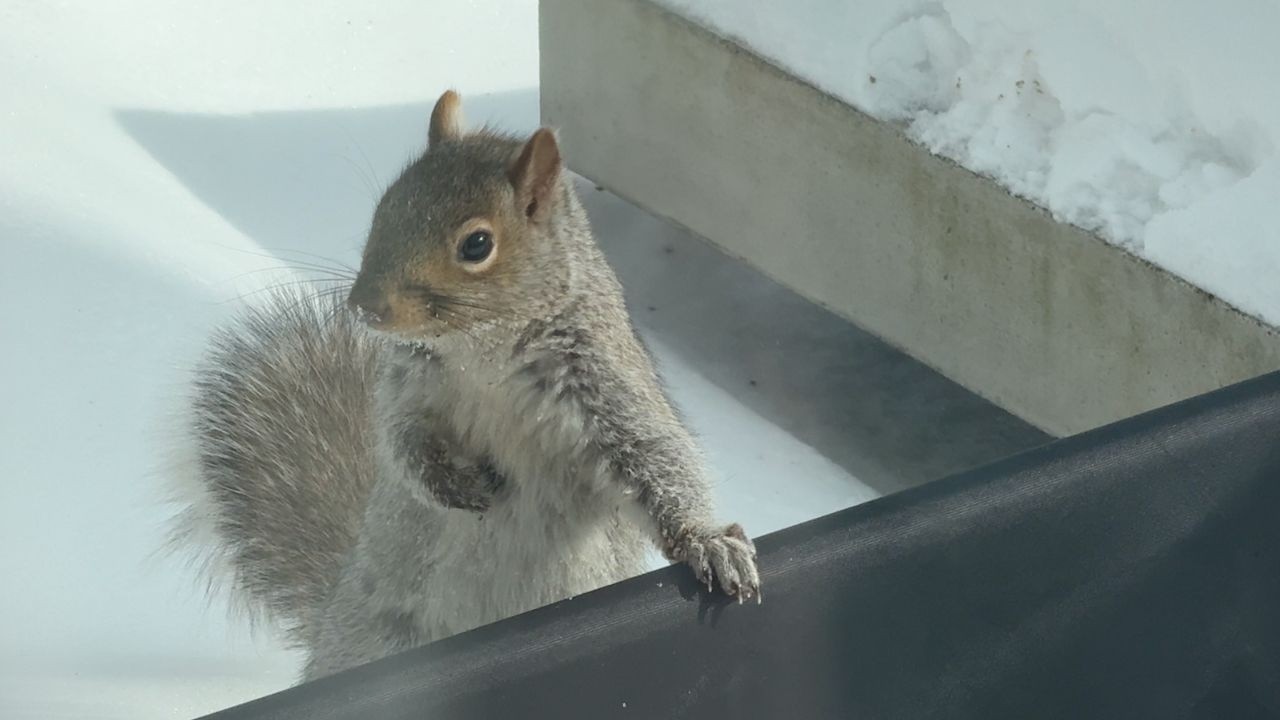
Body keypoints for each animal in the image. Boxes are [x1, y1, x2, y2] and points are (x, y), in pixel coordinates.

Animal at [171, 90, 760, 681]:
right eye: (384, 208)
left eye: (477, 244)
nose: (363, 307)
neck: (481, 355)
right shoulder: (407, 391)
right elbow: (401, 445)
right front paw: (456, 483)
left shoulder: (608, 389)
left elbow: (658, 459)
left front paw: (709, 544)